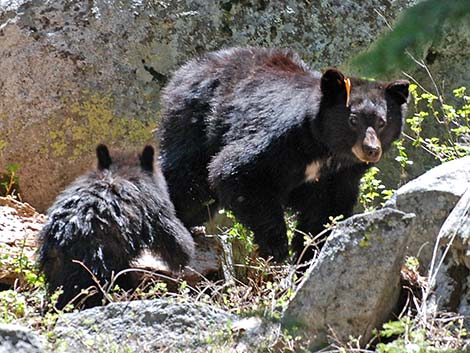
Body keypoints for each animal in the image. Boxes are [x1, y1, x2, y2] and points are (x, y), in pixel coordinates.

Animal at [158, 46, 408, 262]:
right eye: (353, 120)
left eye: (382, 122)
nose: (372, 150)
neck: (326, 150)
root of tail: (188, 68)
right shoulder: (280, 140)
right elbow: (234, 170)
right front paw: (276, 246)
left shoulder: (342, 175)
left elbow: (327, 211)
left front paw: (310, 253)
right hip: (194, 124)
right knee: (188, 183)